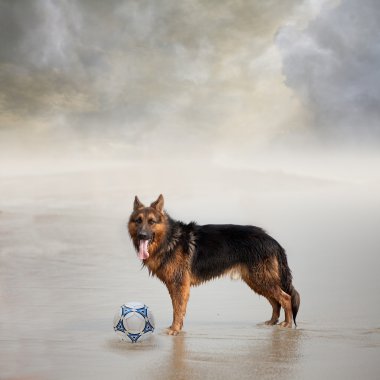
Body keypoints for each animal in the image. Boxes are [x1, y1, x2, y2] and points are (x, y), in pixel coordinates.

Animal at [127, 194, 300, 334]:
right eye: (138, 221)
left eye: (152, 222)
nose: (142, 235)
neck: (169, 239)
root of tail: (272, 240)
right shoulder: (174, 285)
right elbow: (177, 308)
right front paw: (176, 327)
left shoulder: (179, 285)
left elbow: (178, 309)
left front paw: (175, 329)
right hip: (256, 281)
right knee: (275, 301)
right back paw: (272, 322)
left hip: (261, 279)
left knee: (285, 298)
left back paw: (287, 324)